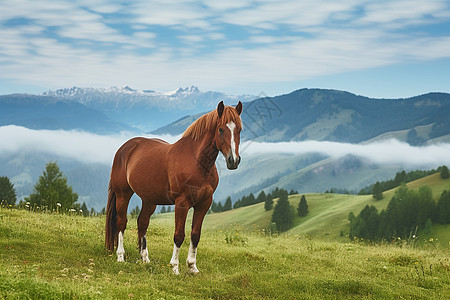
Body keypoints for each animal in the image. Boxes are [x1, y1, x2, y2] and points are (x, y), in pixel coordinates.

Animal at [104, 101, 243, 274]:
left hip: (149, 200)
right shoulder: (181, 203)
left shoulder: (204, 204)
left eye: (239, 129)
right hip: (123, 194)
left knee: (142, 222)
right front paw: (175, 267)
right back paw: (120, 256)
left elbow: (195, 235)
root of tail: (125, 148)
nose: (233, 161)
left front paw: (192, 267)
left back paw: (145, 259)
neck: (197, 162)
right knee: (121, 222)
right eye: (221, 129)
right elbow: (179, 235)